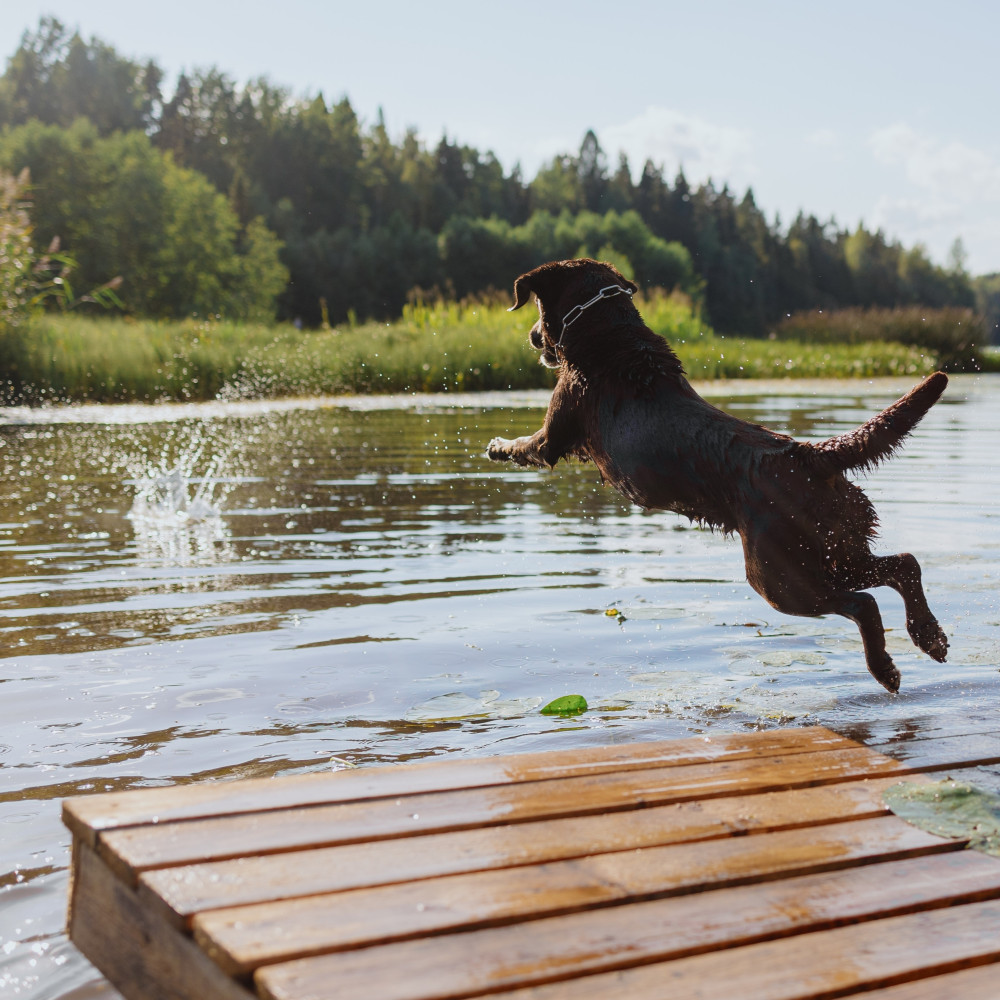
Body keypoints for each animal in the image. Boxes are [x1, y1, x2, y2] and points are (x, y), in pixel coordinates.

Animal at [488, 258, 948, 692]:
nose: (532, 336)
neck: (606, 331)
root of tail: (810, 454)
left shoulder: (556, 430)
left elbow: (527, 446)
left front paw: (496, 446)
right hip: (834, 546)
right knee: (903, 565)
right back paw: (929, 635)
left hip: (780, 575)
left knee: (862, 602)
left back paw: (886, 668)